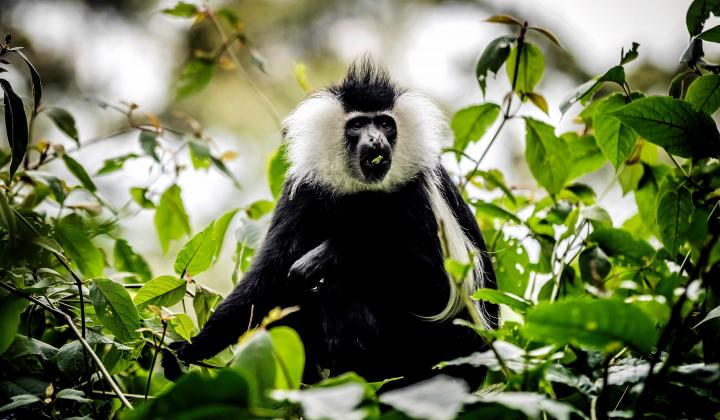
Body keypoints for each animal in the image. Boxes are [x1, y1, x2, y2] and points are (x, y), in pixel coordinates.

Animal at [173, 57, 498, 386]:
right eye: (357, 125)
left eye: (384, 124)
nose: (376, 139)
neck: (362, 192)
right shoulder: (303, 191)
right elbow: (268, 277)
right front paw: (191, 348)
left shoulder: (417, 194)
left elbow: (437, 286)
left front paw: (329, 254)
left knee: (347, 281)